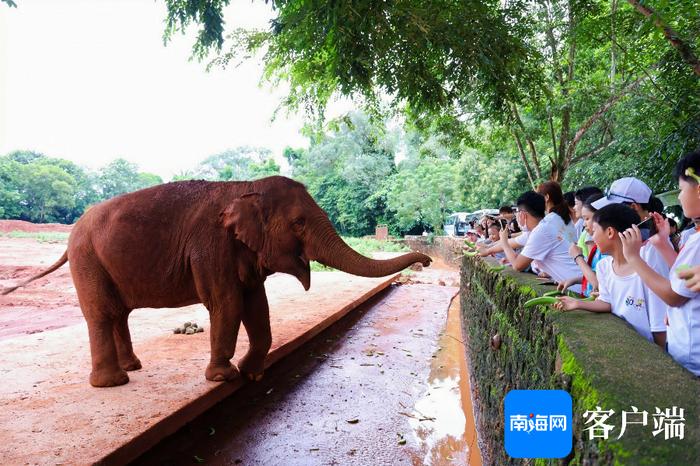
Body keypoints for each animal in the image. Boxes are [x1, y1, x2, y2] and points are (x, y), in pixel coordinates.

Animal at [2, 177, 432, 388]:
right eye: (298, 222)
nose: (427, 261)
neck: (244, 188)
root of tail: (71, 235)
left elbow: (257, 306)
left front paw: (254, 373)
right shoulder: (210, 247)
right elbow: (227, 303)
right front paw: (224, 377)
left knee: (119, 313)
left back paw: (133, 367)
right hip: (87, 260)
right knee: (101, 314)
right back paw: (112, 383)